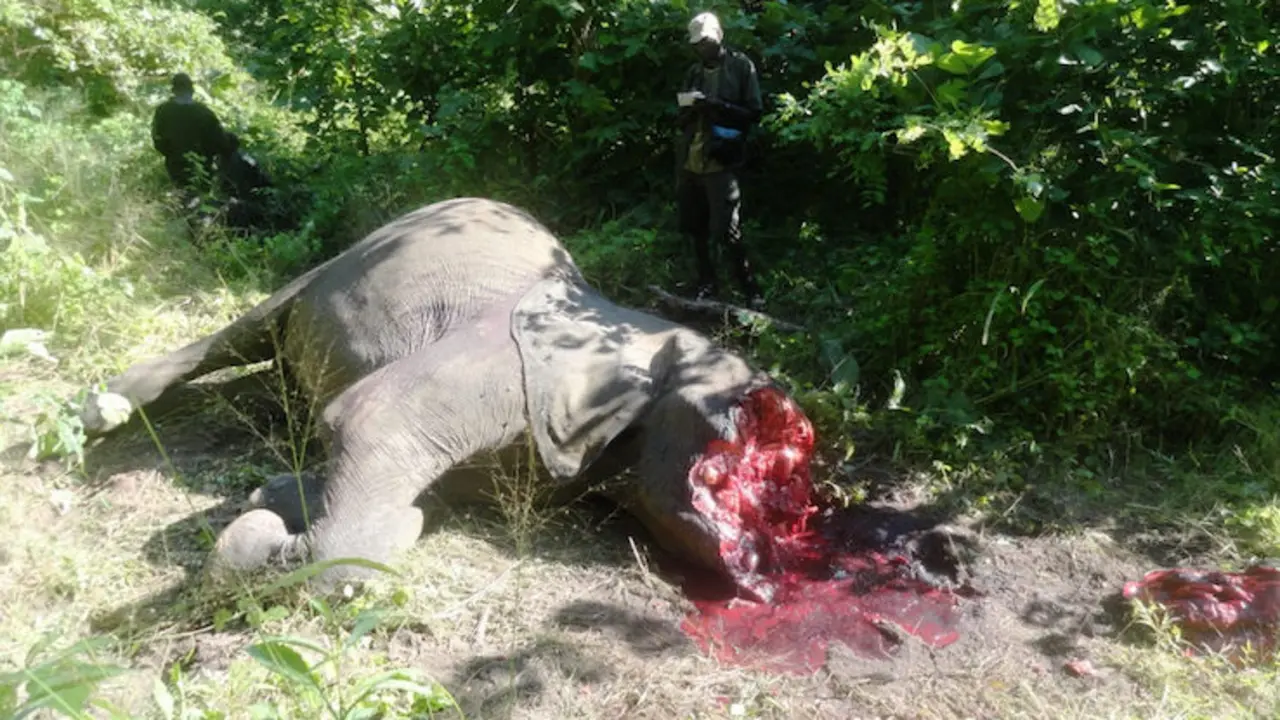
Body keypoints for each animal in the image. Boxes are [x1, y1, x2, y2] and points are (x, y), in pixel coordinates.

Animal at [80, 197, 817, 600]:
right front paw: (263, 527)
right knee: (243, 331)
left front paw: (281, 494)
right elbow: (369, 420)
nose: (802, 430)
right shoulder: (511, 366)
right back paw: (103, 410)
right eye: (754, 395)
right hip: (345, 259)